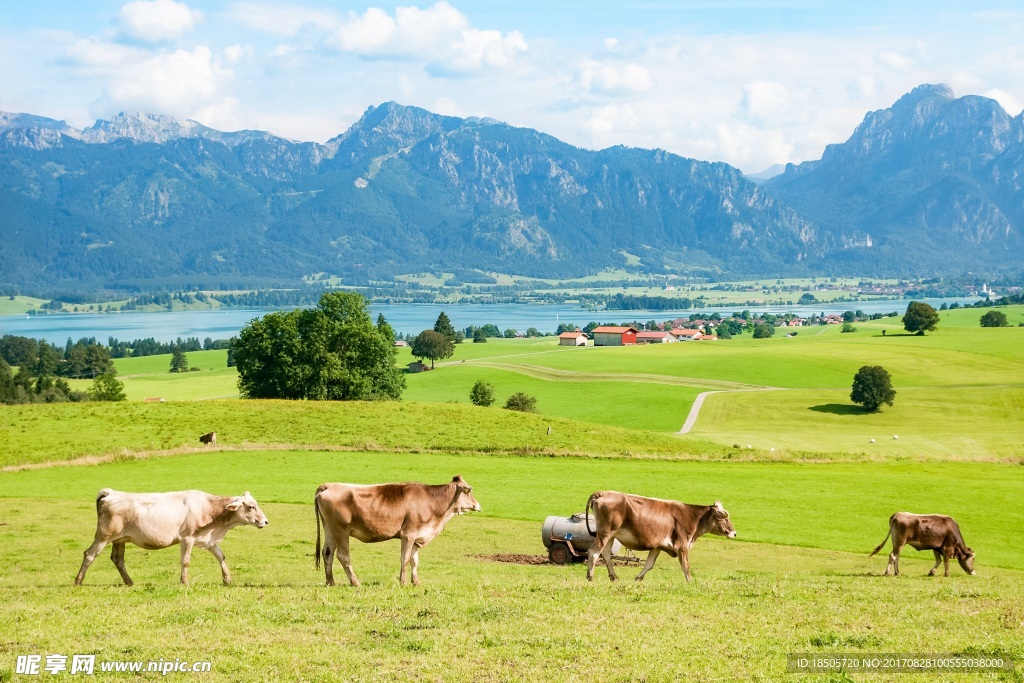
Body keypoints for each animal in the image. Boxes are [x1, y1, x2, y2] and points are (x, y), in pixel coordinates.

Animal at [74, 485, 268, 589]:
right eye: (251, 507)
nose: (265, 521)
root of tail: (111, 493)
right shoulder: (187, 537)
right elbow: (185, 561)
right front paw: (184, 582)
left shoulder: (209, 540)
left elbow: (221, 556)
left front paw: (227, 579)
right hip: (103, 536)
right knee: (89, 554)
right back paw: (78, 581)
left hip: (119, 539)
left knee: (117, 559)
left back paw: (129, 581)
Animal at [313, 475, 481, 589]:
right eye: (468, 491)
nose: (478, 505)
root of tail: (329, 485)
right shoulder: (408, 534)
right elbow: (405, 559)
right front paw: (403, 581)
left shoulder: (416, 537)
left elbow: (414, 560)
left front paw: (416, 582)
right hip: (341, 530)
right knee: (343, 556)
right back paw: (355, 582)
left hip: (330, 529)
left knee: (327, 553)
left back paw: (330, 582)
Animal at [585, 491, 737, 581]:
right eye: (724, 518)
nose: (734, 533)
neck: (691, 516)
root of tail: (602, 493)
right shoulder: (682, 547)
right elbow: (685, 566)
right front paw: (690, 582)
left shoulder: (657, 547)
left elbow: (649, 564)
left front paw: (638, 578)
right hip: (604, 534)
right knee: (594, 553)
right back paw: (590, 577)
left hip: (610, 536)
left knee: (605, 554)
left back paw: (614, 576)